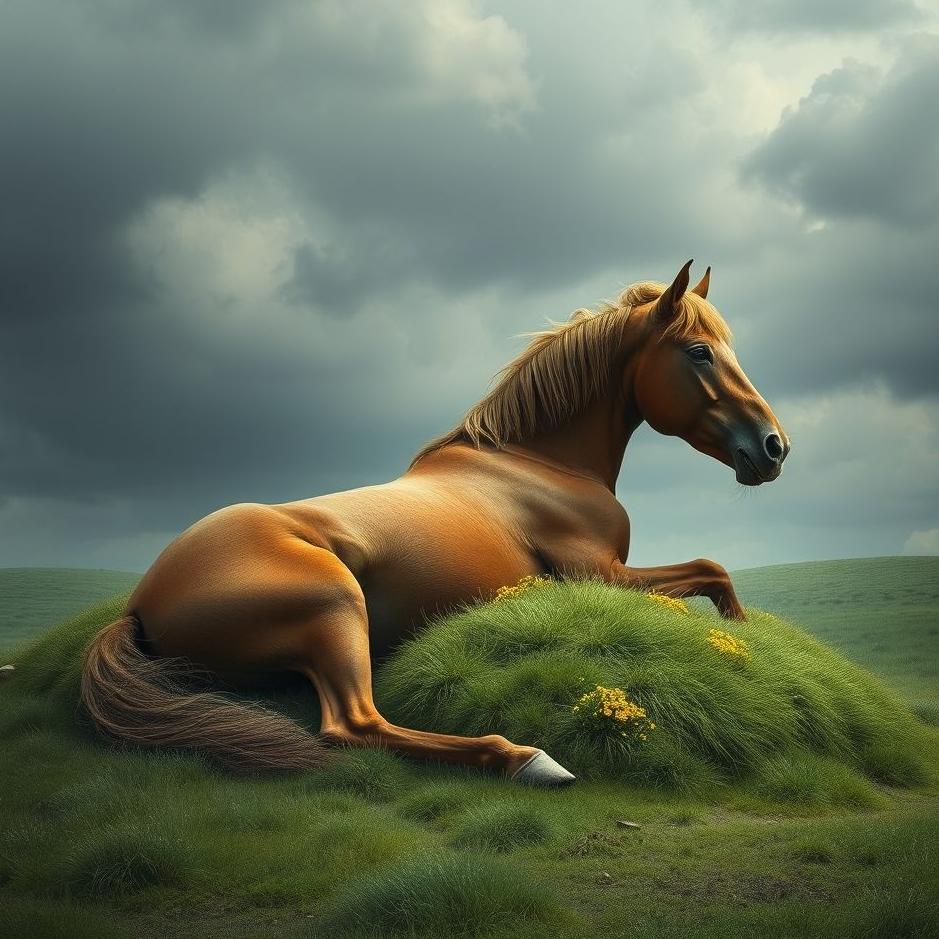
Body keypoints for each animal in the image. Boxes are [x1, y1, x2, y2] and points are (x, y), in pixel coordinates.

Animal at [80, 260, 789, 787]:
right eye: (699, 352)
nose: (773, 447)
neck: (538, 463)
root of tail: (141, 603)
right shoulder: (600, 575)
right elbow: (712, 570)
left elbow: (715, 576)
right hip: (335, 608)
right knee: (354, 726)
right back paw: (526, 759)